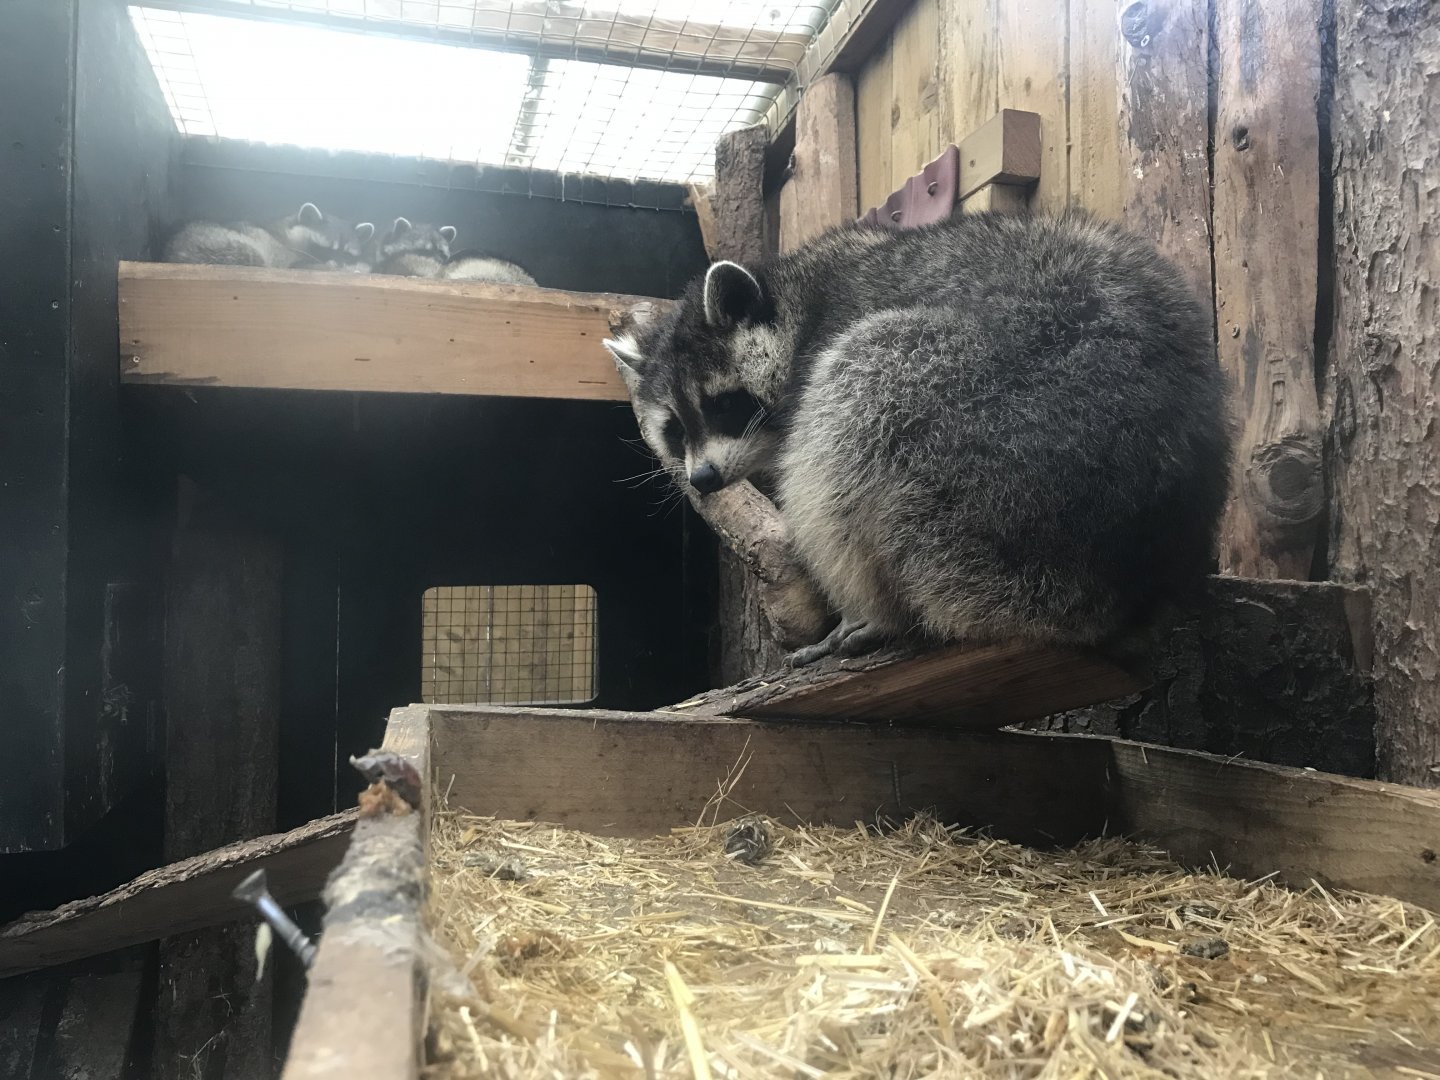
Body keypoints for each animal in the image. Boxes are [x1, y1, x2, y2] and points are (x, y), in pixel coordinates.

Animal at [606, 211, 1233, 667]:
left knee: (863, 377)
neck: (796, 300)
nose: (703, 478)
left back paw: (882, 611)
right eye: (674, 429)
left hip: (987, 456)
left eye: (724, 406)